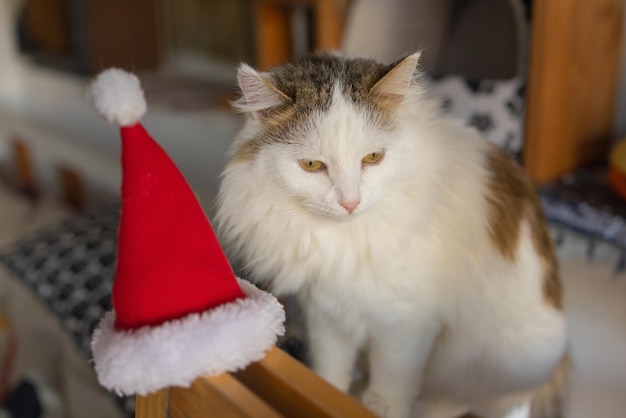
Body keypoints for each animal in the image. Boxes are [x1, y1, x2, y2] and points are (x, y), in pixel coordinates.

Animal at [214, 53, 564, 418]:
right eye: (311, 165)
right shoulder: (326, 313)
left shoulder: (404, 324)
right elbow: (330, 374)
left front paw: (378, 406)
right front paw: (330, 395)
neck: (346, 244)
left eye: (373, 158)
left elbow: (391, 386)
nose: (350, 203)